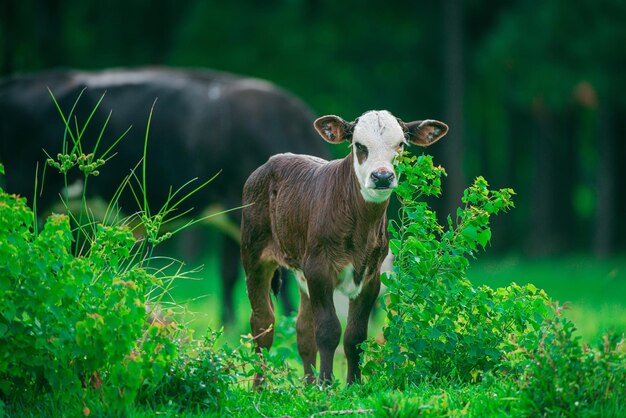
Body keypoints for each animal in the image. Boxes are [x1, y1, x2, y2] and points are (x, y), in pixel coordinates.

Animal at [238, 109, 444, 384]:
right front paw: (326, 384)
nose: (382, 176)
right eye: (359, 145)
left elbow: (355, 336)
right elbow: (328, 330)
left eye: (400, 145)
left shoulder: (371, 277)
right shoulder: (319, 270)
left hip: (301, 272)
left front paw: (353, 384)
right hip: (254, 256)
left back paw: (308, 385)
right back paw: (260, 387)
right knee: (263, 324)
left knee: (303, 330)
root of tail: (272, 161)